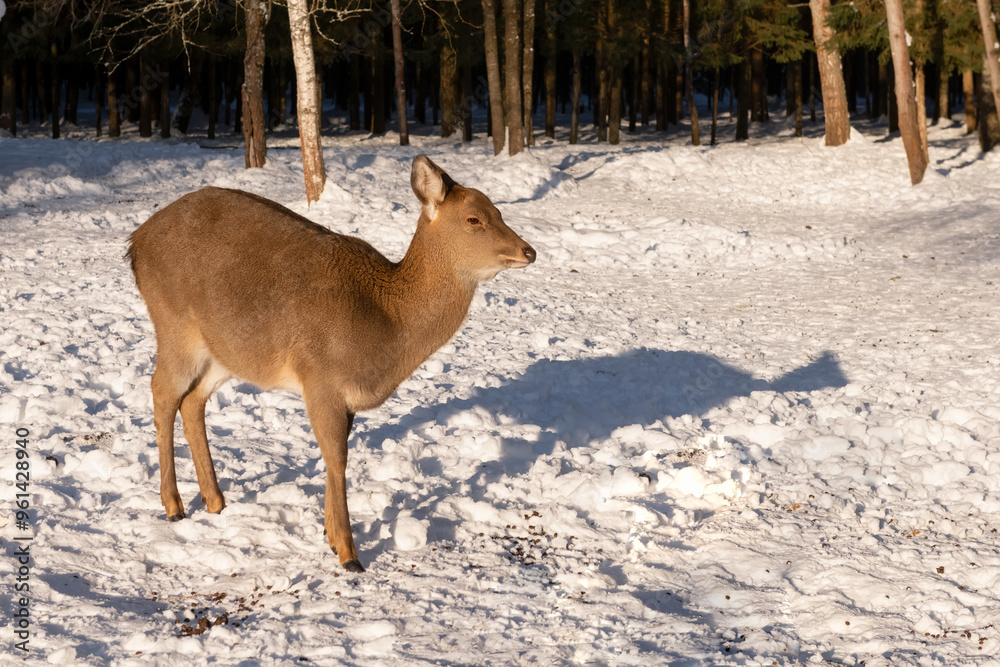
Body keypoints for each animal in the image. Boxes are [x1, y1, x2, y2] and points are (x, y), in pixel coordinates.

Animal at [127, 155, 536, 573]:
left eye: (499, 211)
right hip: (175, 325)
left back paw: (216, 501)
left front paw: (327, 534)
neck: (387, 323)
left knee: (193, 401)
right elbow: (337, 458)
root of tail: (135, 242)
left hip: (223, 351)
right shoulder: (320, 376)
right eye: (474, 219)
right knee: (162, 392)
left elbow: (333, 455)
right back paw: (174, 507)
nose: (529, 251)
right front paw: (349, 554)